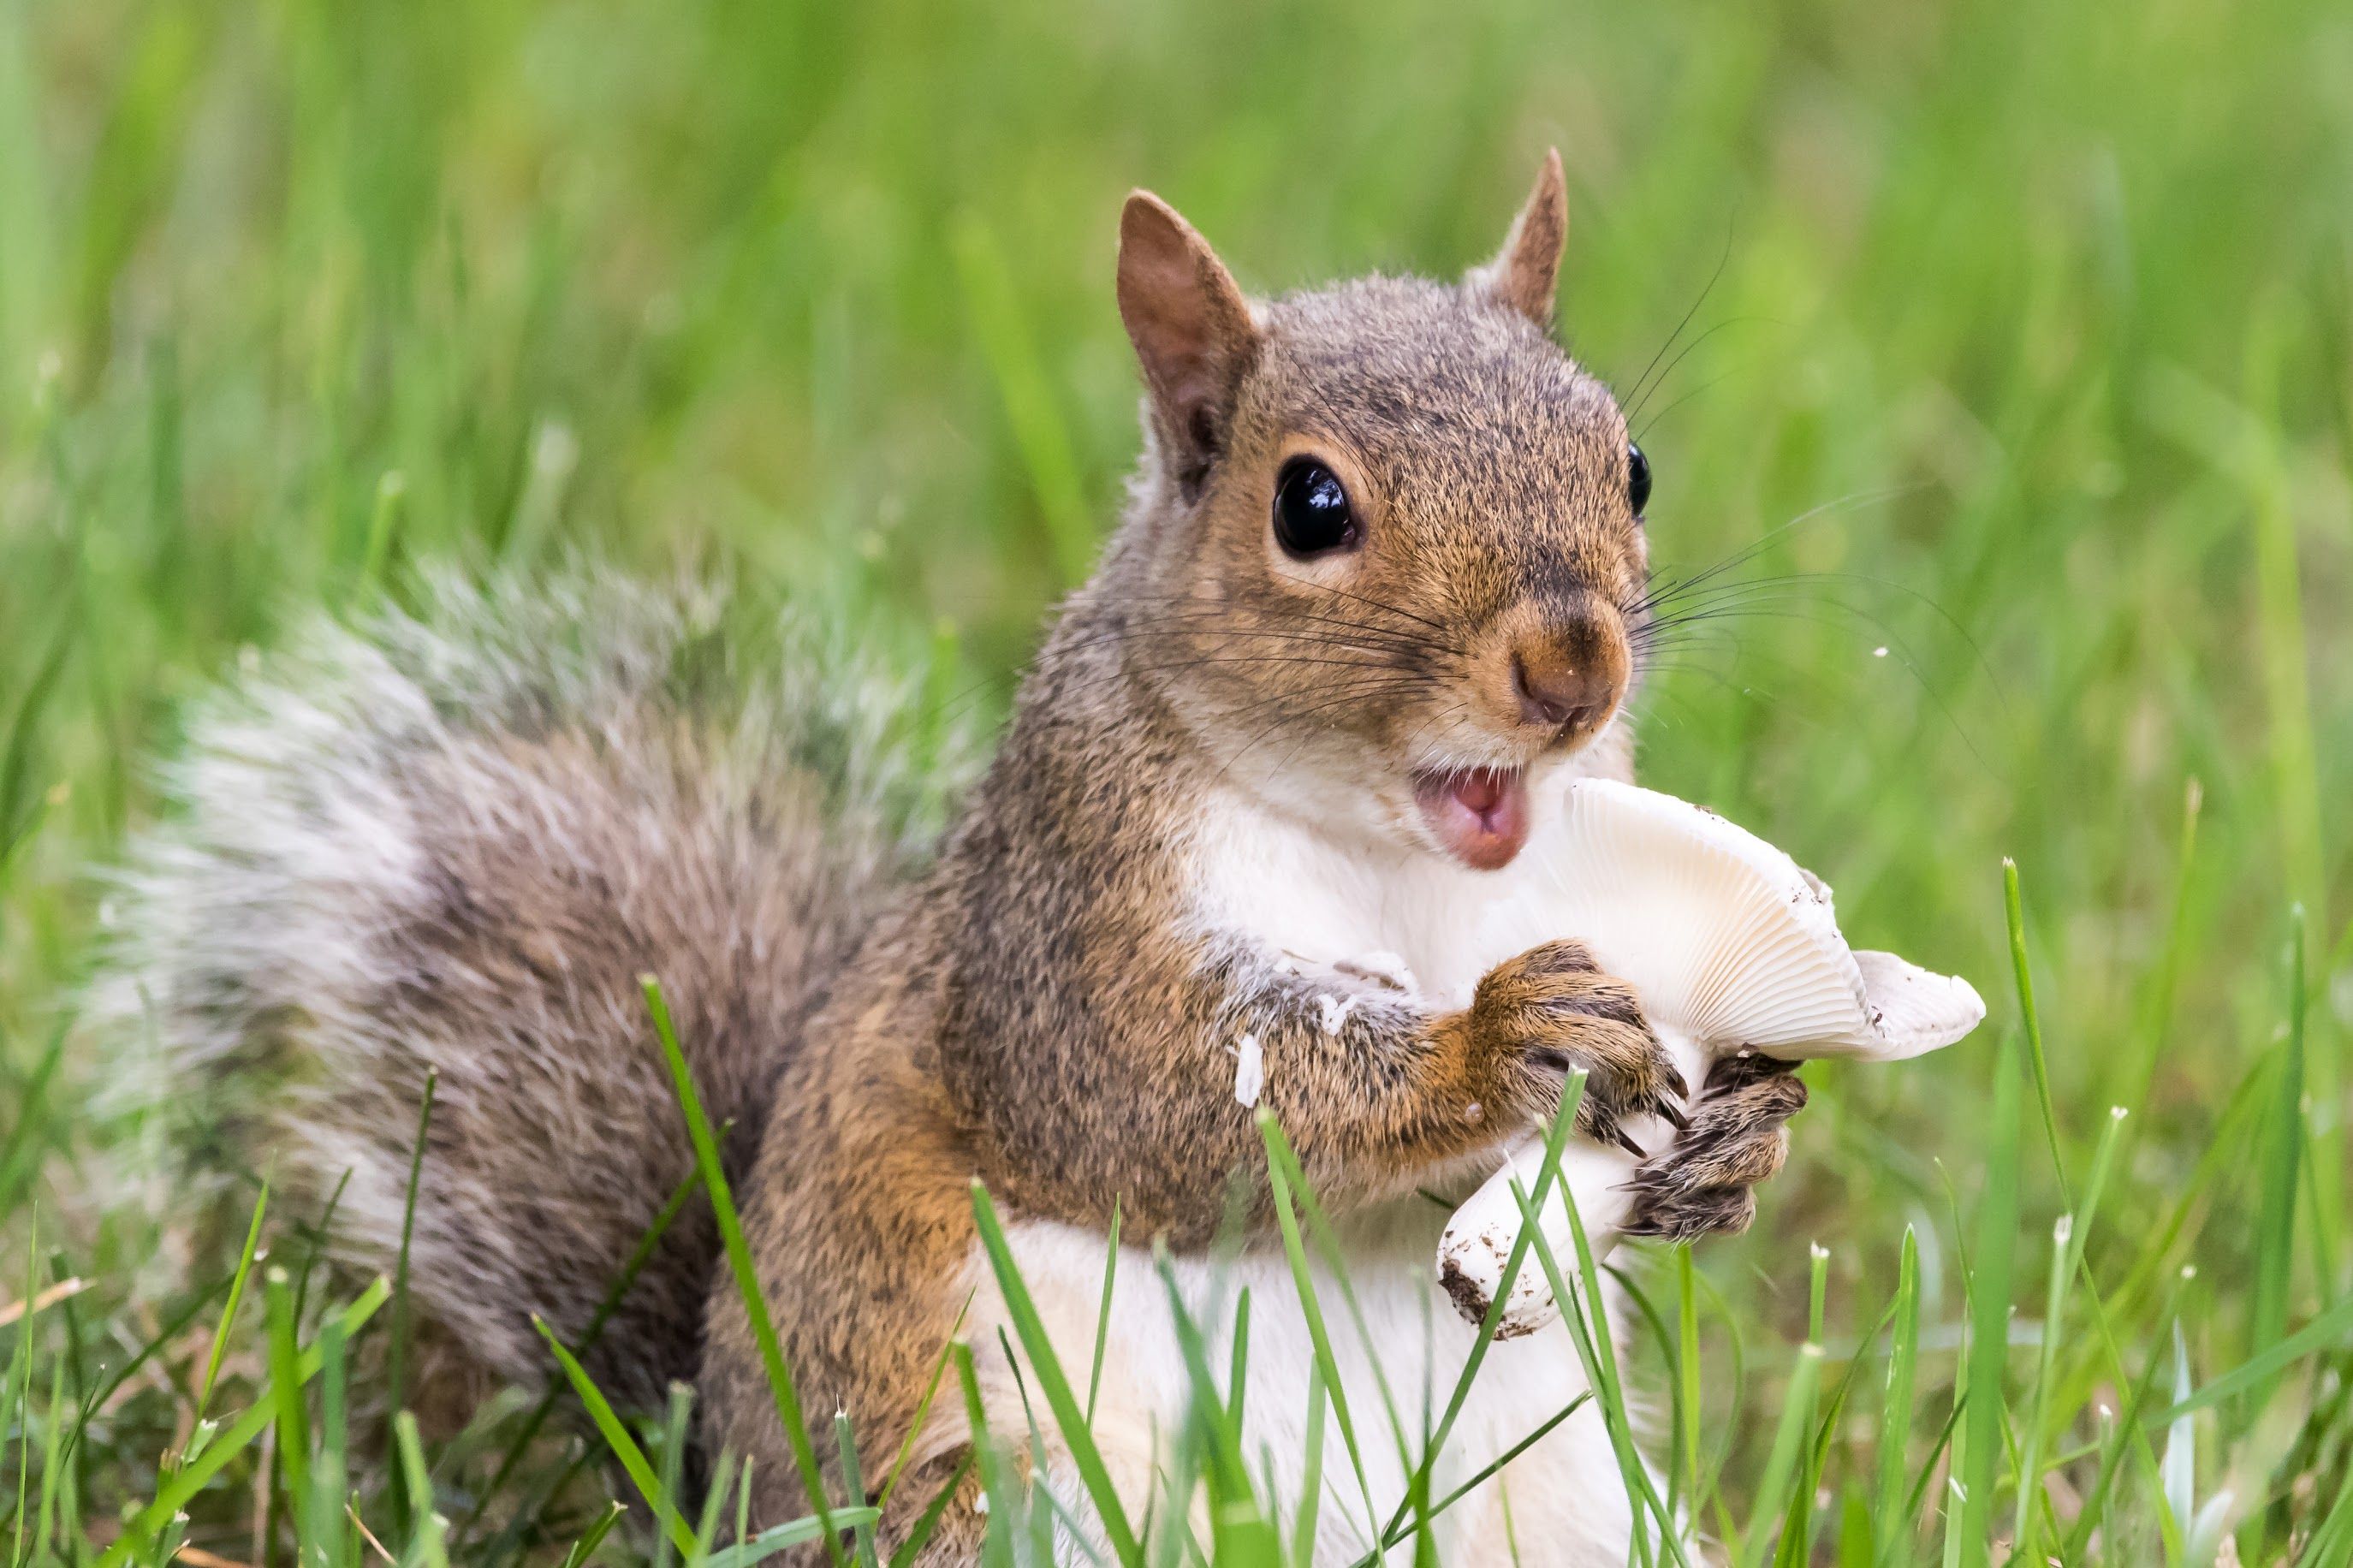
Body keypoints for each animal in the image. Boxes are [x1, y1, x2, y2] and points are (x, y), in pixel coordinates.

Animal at [102, 151, 1809, 1564]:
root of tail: (714, 1493)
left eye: (1629, 464)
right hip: (994, 1494)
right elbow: (1154, 1101)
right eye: (1309, 505)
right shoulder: (1062, 917)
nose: (1569, 665)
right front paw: (1500, 1038)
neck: (1400, 853)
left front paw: (1732, 1144)